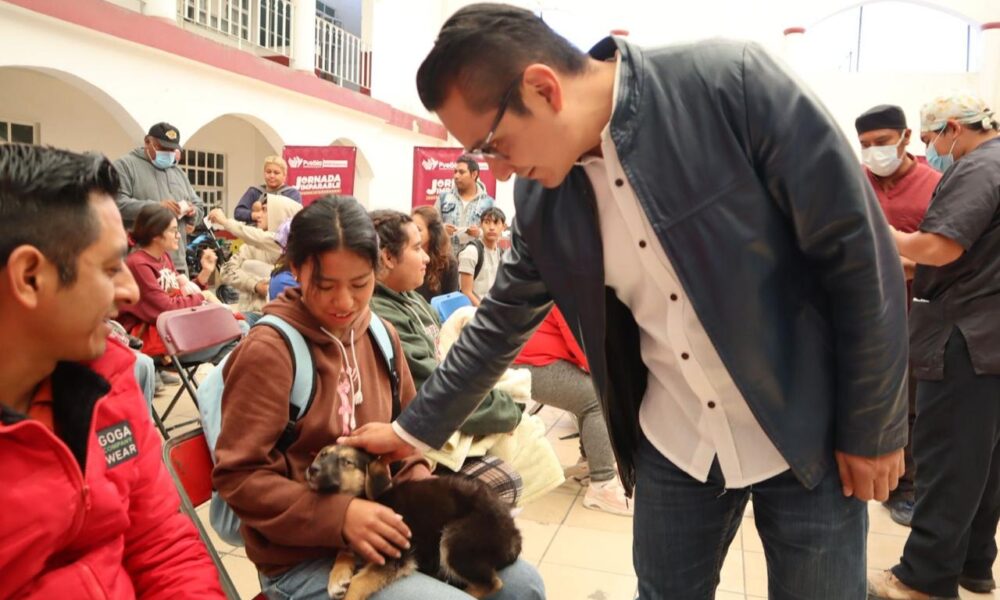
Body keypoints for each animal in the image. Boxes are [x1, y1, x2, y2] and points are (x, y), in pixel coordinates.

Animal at [305, 444, 523, 600]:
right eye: (323, 454)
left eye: (347, 462)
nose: (312, 469)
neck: (366, 499)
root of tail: (514, 533)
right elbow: (344, 550)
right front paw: (338, 578)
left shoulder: (396, 556)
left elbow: (359, 582)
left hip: (456, 540)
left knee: (492, 583)